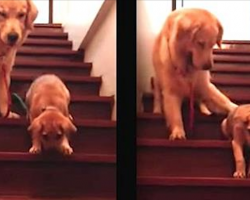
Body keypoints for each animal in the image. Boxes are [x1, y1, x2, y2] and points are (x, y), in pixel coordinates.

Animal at [152, 8, 238, 141]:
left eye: (213, 44)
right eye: (200, 43)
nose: (208, 67)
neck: (187, 68)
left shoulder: (205, 86)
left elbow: (224, 101)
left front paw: (236, 109)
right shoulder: (171, 92)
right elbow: (175, 115)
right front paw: (178, 132)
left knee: (201, 100)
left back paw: (205, 111)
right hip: (157, 79)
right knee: (157, 95)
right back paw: (156, 110)